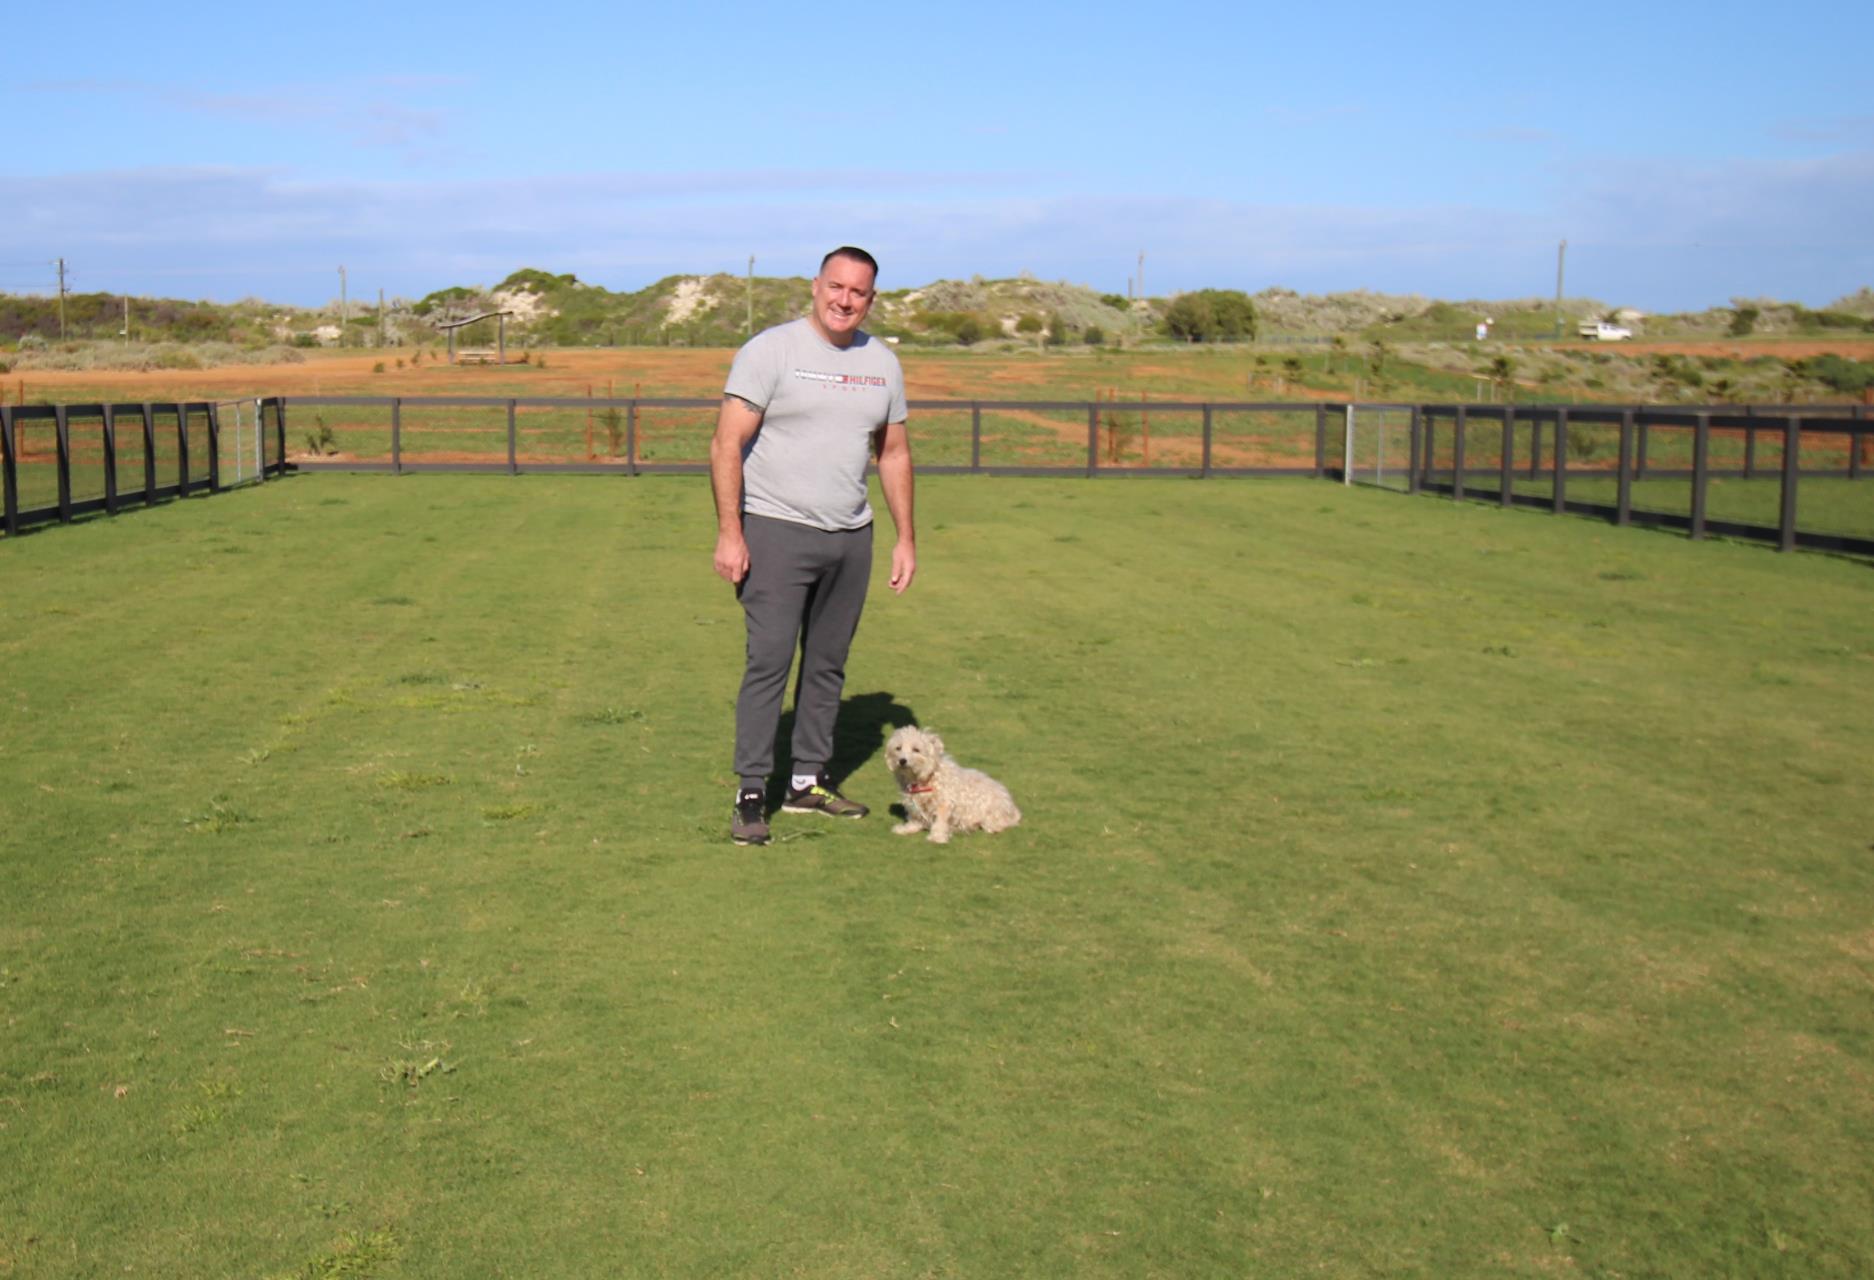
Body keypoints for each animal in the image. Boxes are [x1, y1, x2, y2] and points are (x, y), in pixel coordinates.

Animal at [880, 727, 1019, 847]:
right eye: (898, 748)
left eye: (916, 749)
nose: (902, 761)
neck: (926, 778)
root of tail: (1013, 809)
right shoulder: (914, 804)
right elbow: (915, 818)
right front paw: (907, 828)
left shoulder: (944, 803)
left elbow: (940, 821)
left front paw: (937, 837)